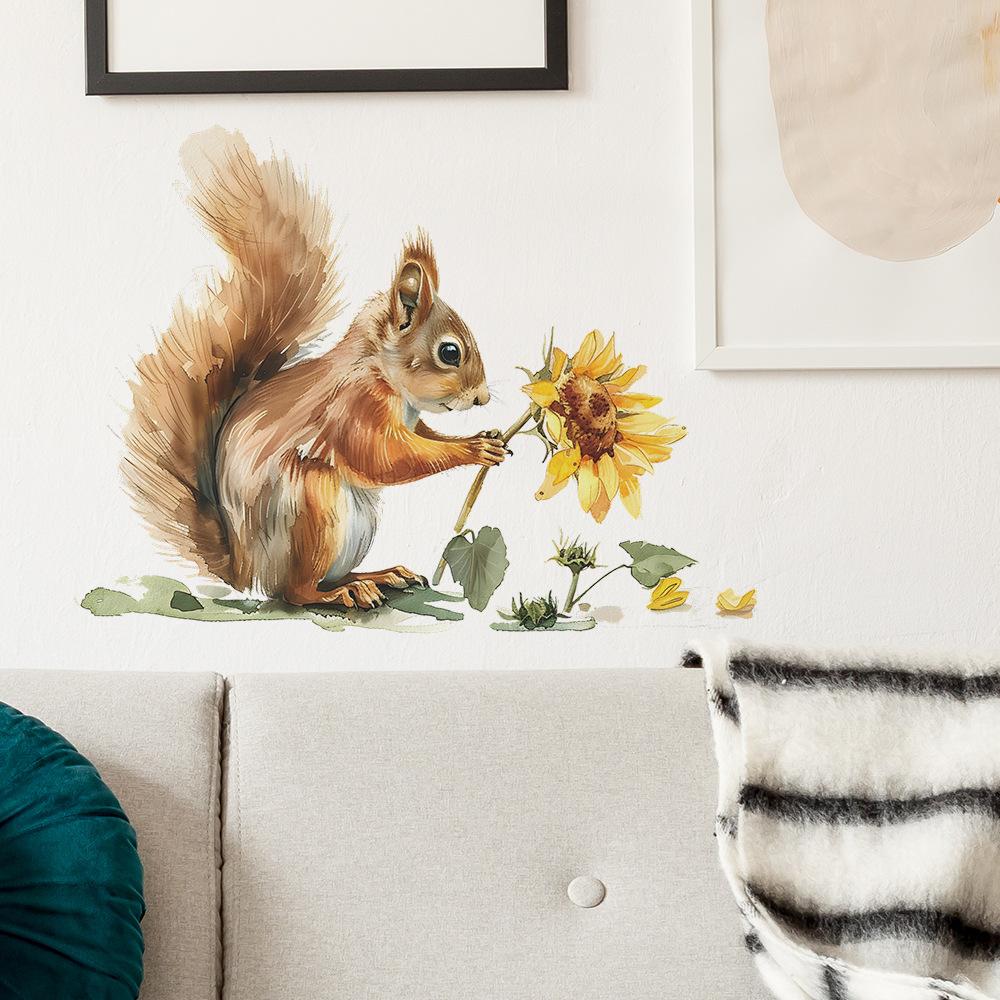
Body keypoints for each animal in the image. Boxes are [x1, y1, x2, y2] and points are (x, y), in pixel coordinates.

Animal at [123, 128, 506, 609]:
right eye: (450, 352)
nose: (484, 398)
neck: (382, 371)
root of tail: (246, 570)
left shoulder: (406, 417)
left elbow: (422, 438)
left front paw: (487, 438)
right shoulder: (353, 405)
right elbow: (385, 457)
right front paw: (474, 448)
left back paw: (378, 576)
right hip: (313, 504)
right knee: (297, 591)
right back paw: (344, 592)